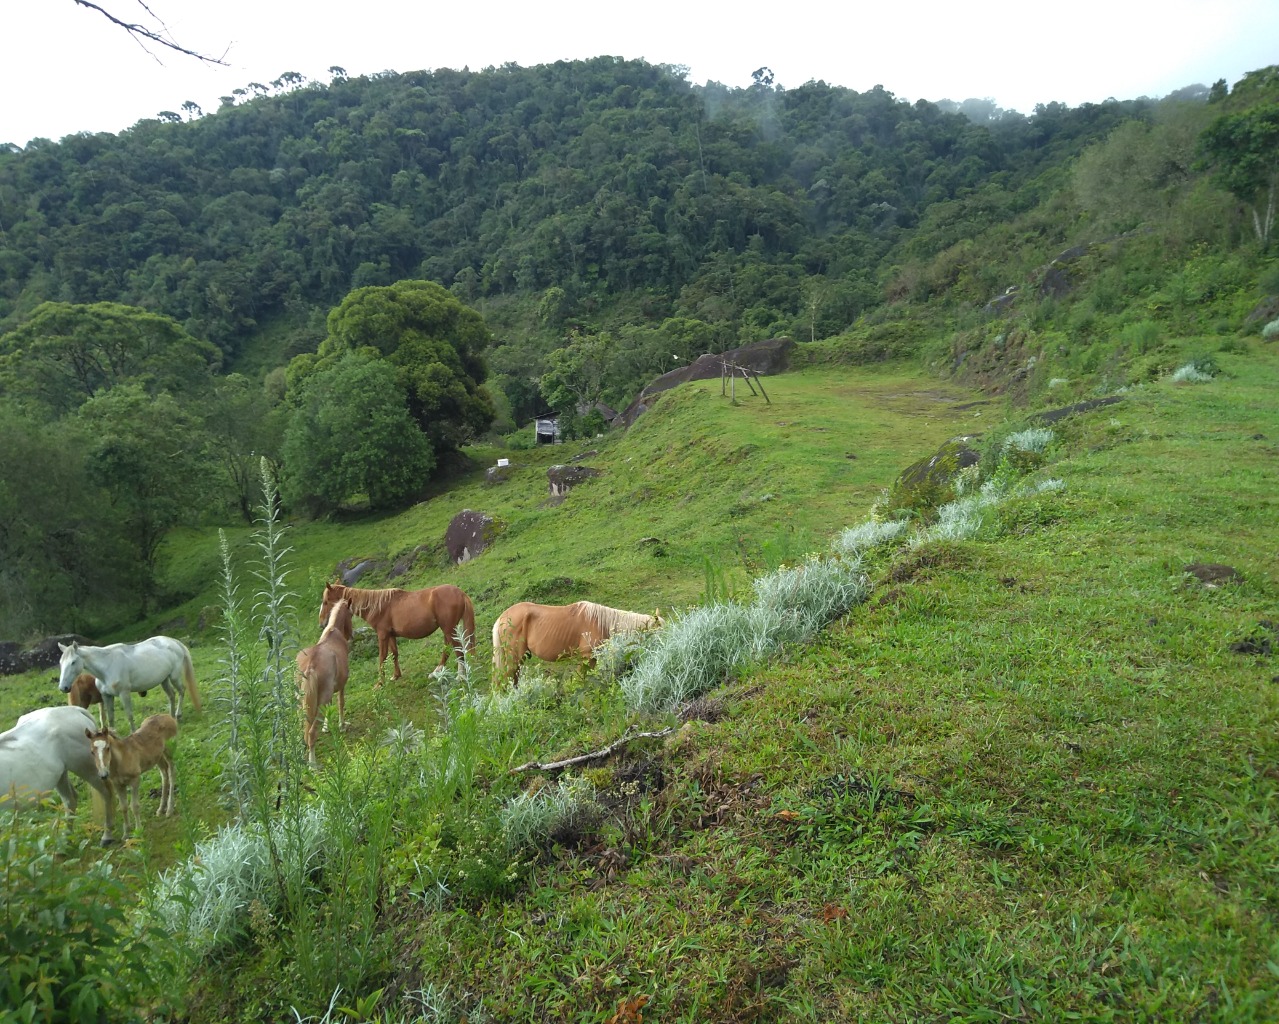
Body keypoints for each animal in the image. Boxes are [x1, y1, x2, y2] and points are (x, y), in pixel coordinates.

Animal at [0, 705, 117, 843]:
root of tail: (74, 710)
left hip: (87, 769)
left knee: (106, 792)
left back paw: (107, 835)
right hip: (61, 775)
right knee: (70, 800)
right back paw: (65, 841)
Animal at [57, 634, 200, 731]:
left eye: (73, 662)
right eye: (60, 662)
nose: (63, 687)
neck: (107, 666)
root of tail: (173, 642)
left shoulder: (124, 693)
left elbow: (129, 714)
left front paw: (133, 732)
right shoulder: (106, 696)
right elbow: (110, 717)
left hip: (174, 677)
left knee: (181, 691)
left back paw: (178, 715)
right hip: (164, 680)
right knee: (171, 695)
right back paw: (171, 717)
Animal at [295, 598, 353, 756]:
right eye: (351, 614)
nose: (351, 635)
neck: (333, 632)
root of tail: (310, 667)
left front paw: (327, 727)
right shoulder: (341, 685)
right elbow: (340, 703)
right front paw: (341, 726)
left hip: (301, 705)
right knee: (311, 734)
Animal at [319, 580, 480, 685]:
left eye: (326, 601)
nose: (321, 623)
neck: (378, 606)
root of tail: (460, 592)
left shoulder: (382, 635)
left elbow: (382, 657)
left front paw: (380, 683)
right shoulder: (391, 635)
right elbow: (394, 654)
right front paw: (395, 676)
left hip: (449, 629)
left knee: (457, 649)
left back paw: (460, 676)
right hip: (448, 630)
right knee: (447, 650)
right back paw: (437, 672)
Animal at [491, 603, 665, 685]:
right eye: (659, 631)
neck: (601, 622)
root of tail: (502, 617)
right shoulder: (587, 657)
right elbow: (582, 677)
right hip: (513, 658)